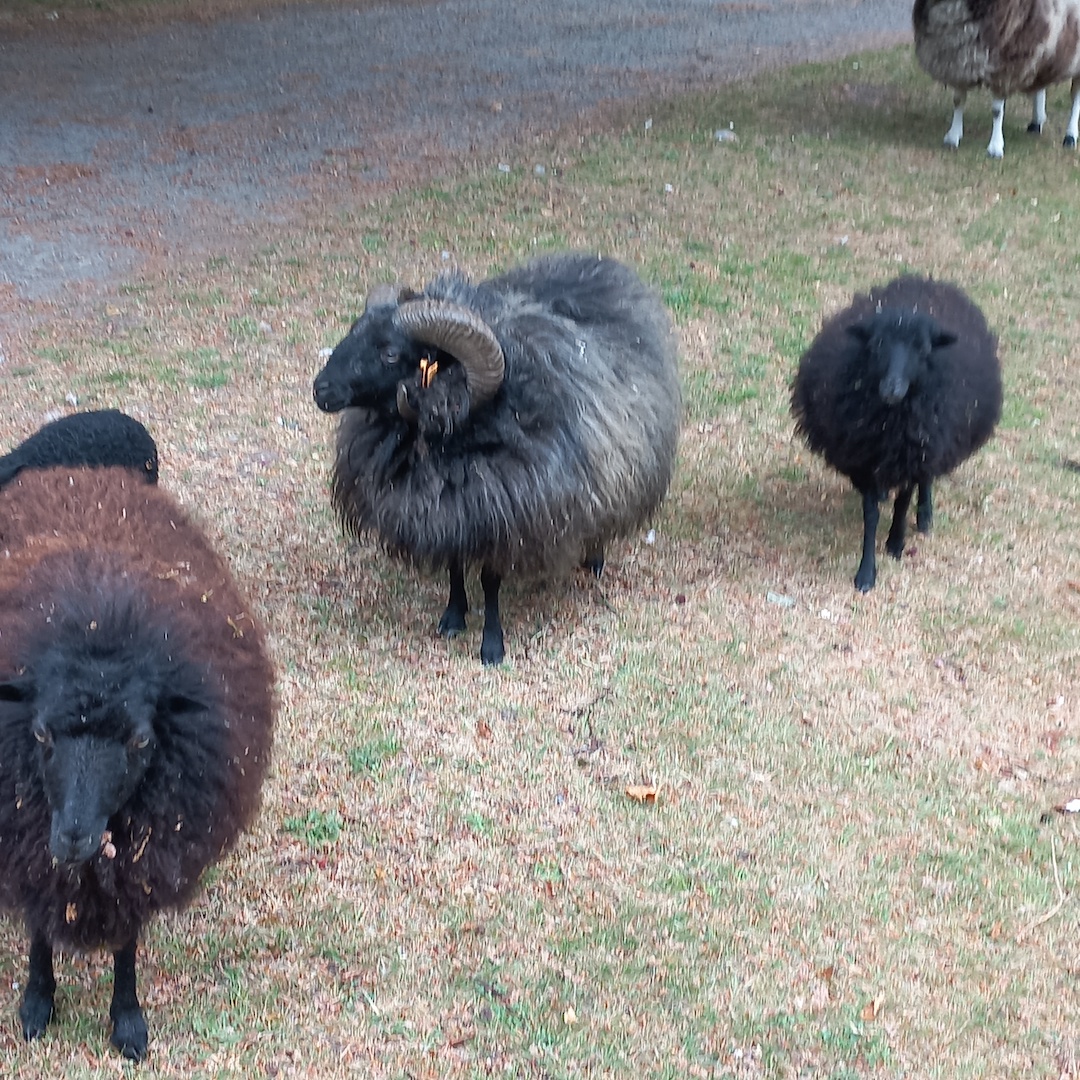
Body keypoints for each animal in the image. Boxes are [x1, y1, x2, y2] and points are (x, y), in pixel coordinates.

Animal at [0, 466, 274, 1060]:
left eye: (141, 741)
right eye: (39, 731)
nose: (74, 838)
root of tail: (79, 473)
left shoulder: (144, 856)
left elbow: (126, 943)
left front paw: (127, 1020)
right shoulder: (27, 843)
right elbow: (39, 923)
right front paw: (37, 1004)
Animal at [312, 251, 681, 665]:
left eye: (390, 353)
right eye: (355, 330)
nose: (320, 388)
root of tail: (598, 263)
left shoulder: (503, 510)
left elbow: (490, 580)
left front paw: (492, 644)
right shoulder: (454, 509)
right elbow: (455, 566)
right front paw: (453, 617)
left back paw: (594, 559)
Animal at [791, 276, 1002, 592]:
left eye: (923, 349)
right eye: (877, 344)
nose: (891, 388)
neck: (891, 424)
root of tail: (924, 280)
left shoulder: (913, 453)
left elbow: (903, 501)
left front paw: (896, 542)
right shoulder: (864, 458)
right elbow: (870, 513)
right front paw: (866, 573)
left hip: (932, 442)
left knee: (925, 479)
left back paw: (924, 516)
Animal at [913, 0, 1080, 157]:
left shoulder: (1005, 67)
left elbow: (996, 111)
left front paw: (995, 147)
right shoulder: (960, 62)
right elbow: (958, 101)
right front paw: (952, 137)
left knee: (1075, 98)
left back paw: (1070, 136)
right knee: (1040, 85)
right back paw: (1036, 123)